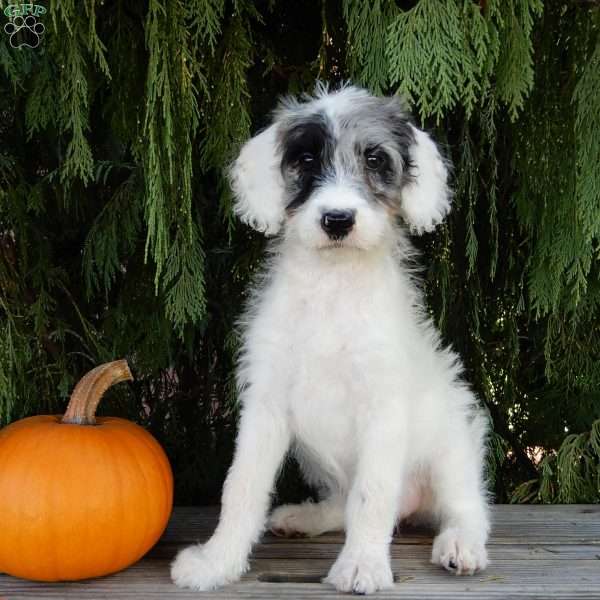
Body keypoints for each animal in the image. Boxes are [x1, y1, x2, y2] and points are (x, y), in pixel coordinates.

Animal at [171, 84, 490, 596]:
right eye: (305, 159)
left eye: (376, 159)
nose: (337, 219)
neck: (332, 288)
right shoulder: (265, 405)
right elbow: (240, 487)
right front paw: (216, 563)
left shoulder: (383, 408)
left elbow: (372, 495)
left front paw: (362, 565)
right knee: (343, 503)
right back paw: (305, 517)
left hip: (451, 440)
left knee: (466, 505)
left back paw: (460, 544)